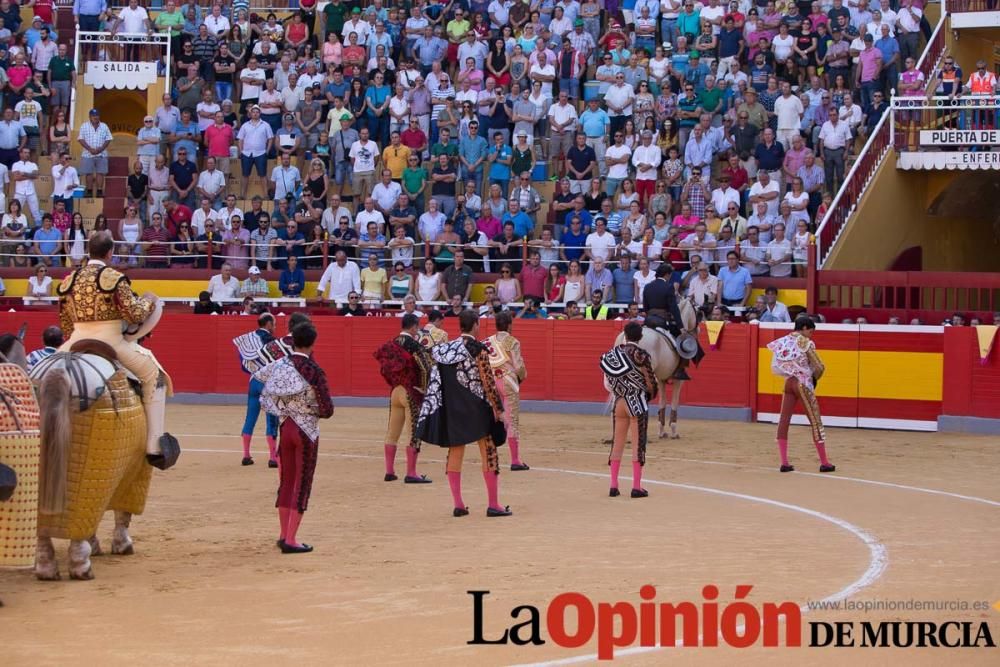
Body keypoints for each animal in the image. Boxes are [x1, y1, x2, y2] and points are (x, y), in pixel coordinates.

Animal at [608, 300, 696, 440]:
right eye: (696, 311)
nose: (697, 329)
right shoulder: (679, 381)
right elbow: (674, 402)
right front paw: (673, 431)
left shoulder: (661, 379)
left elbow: (662, 402)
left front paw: (661, 431)